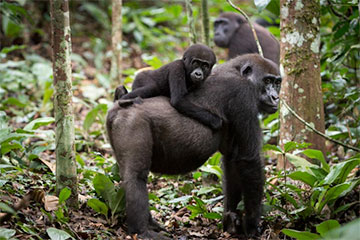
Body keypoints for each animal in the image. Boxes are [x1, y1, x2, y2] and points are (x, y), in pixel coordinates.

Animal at [107, 54, 282, 240]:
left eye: (277, 83)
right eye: (267, 81)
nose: (275, 97)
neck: (236, 70)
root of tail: (116, 108)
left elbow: (232, 161)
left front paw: (230, 219)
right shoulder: (243, 95)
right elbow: (249, 160)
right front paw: (251, 224)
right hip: (133, 122)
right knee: (136, 177)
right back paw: (142, 231)